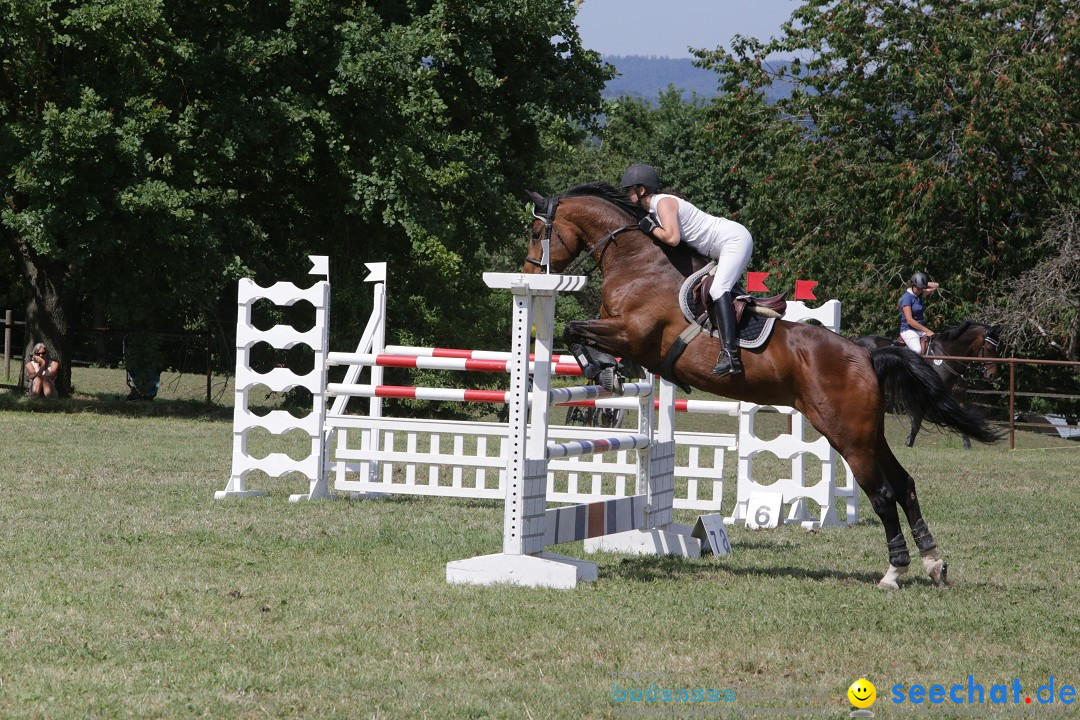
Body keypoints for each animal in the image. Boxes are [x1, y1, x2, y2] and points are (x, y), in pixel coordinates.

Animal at [518, 183, 997, 587]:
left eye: (537, 230)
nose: (528, 271)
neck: (638, 262)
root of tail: (864, 354)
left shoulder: (632, 334)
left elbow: (574, 330)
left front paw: (600, 368)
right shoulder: (626, 339)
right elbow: (580, 335)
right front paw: (603, 370)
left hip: (846, 433)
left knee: (882, 493)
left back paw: (893, 572)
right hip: (868, 432)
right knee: (904, 484)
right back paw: (934, 563)